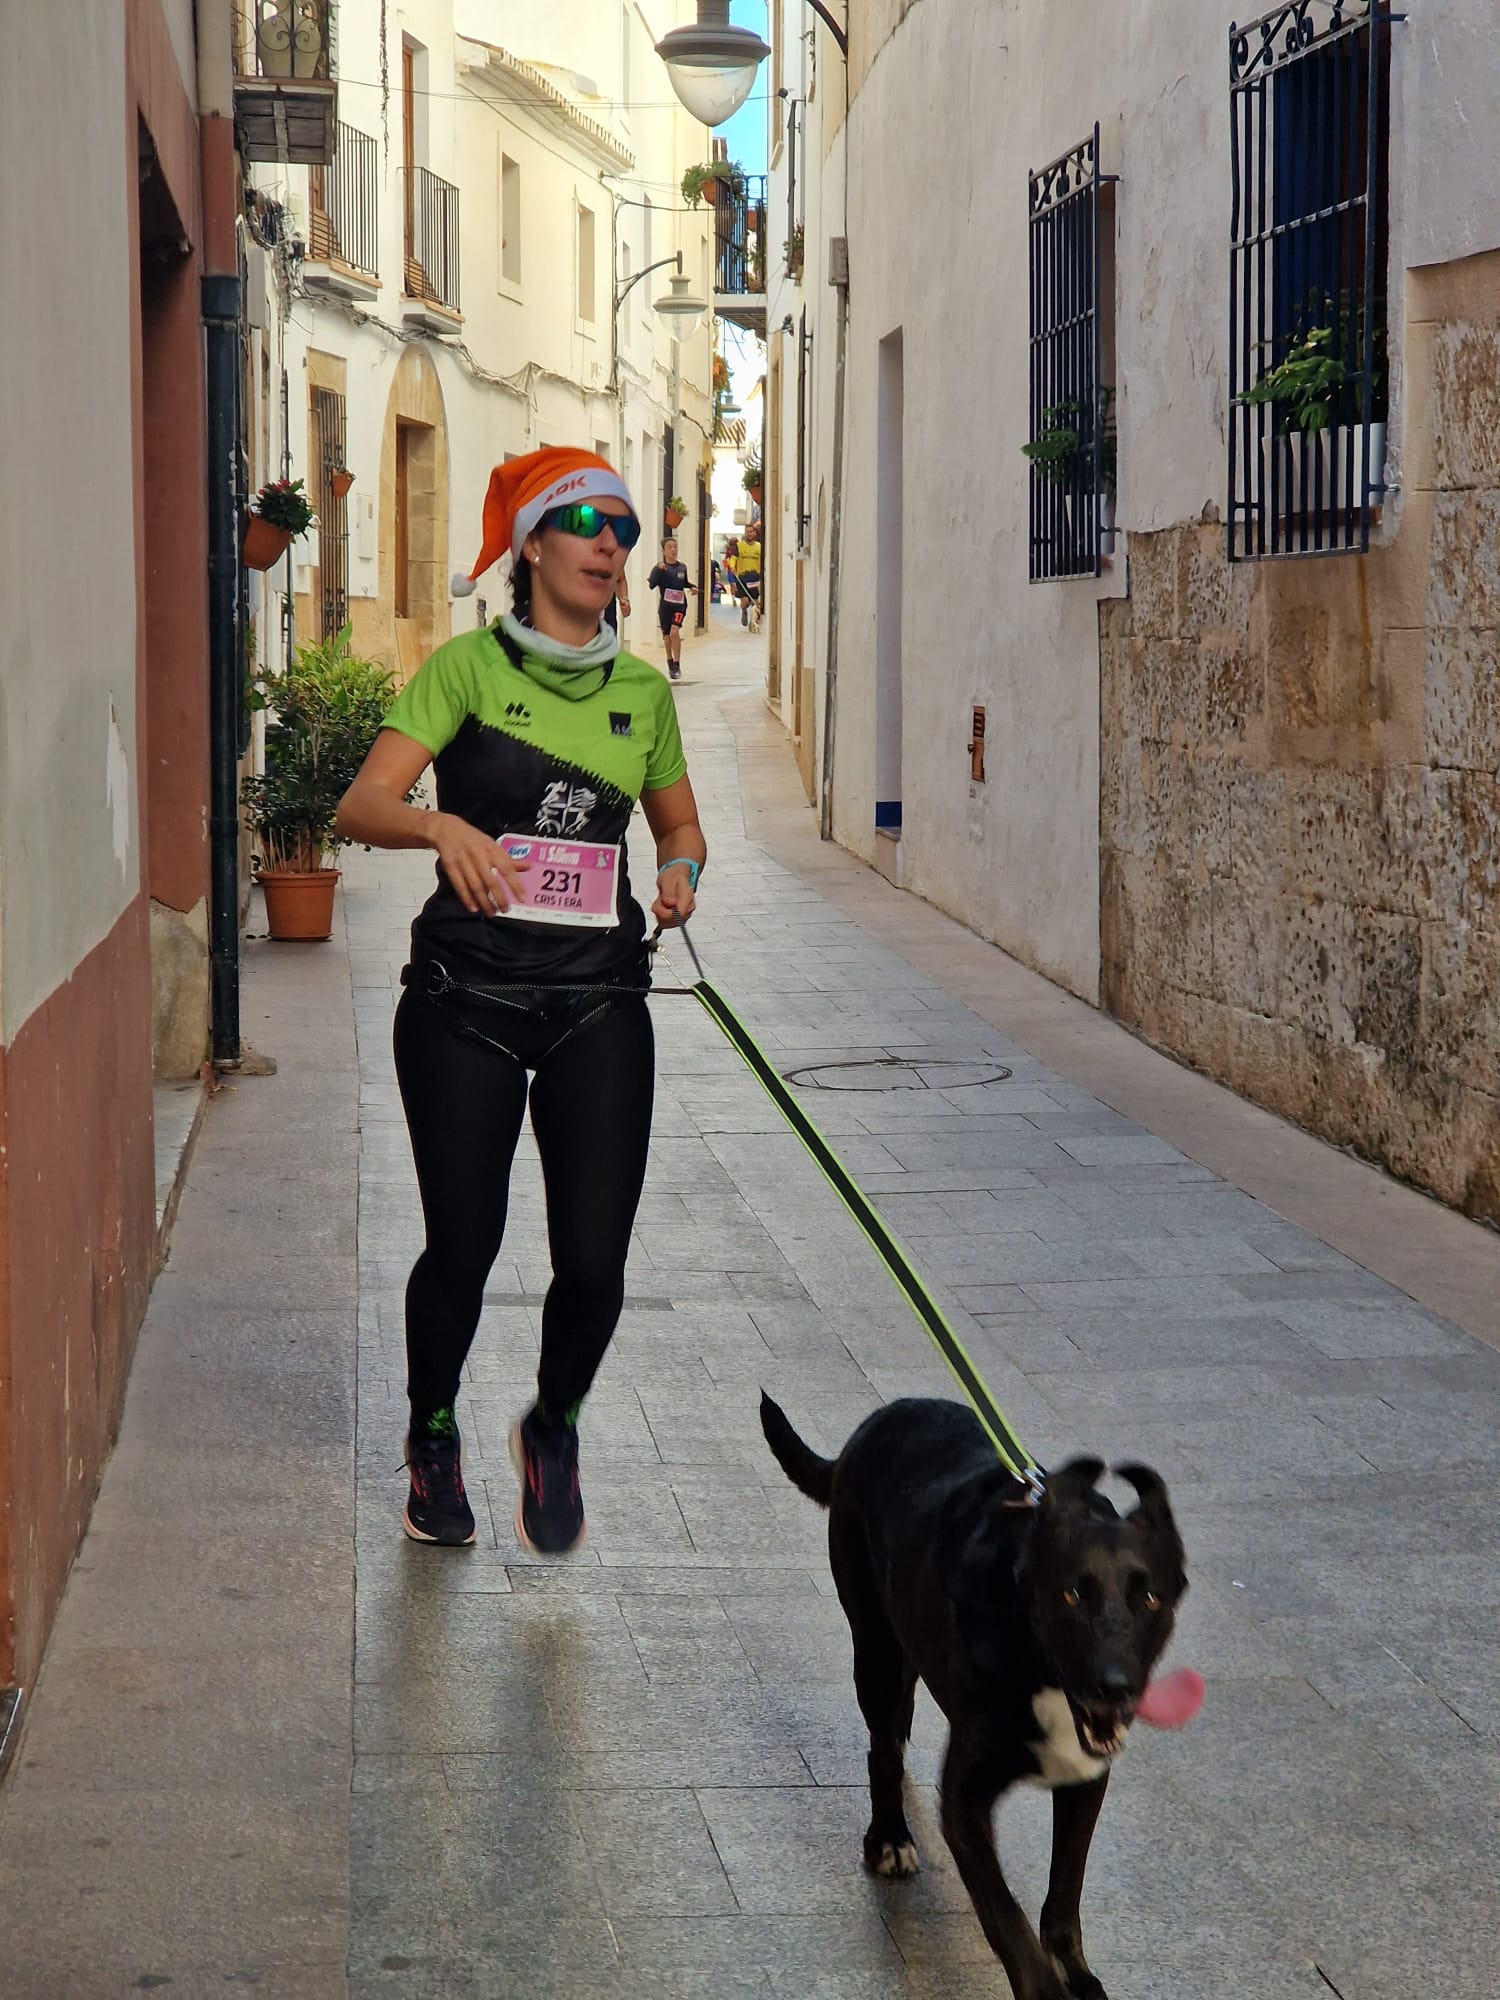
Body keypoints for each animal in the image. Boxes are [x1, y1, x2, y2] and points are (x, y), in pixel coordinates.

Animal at [764, 1392, 1184, 2000]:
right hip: (875, 1647)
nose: (1115, 1686)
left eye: (1150, 1598)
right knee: (882, 1748)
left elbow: (1065, 1893)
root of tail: (875, 1423)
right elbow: (1006, 1918)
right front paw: (1044, 1988)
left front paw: (1077, 1976)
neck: (1037, 1666)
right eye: (1073, 1593)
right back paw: (889, 1835)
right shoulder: (965, 1803)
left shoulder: (1085, 1783)